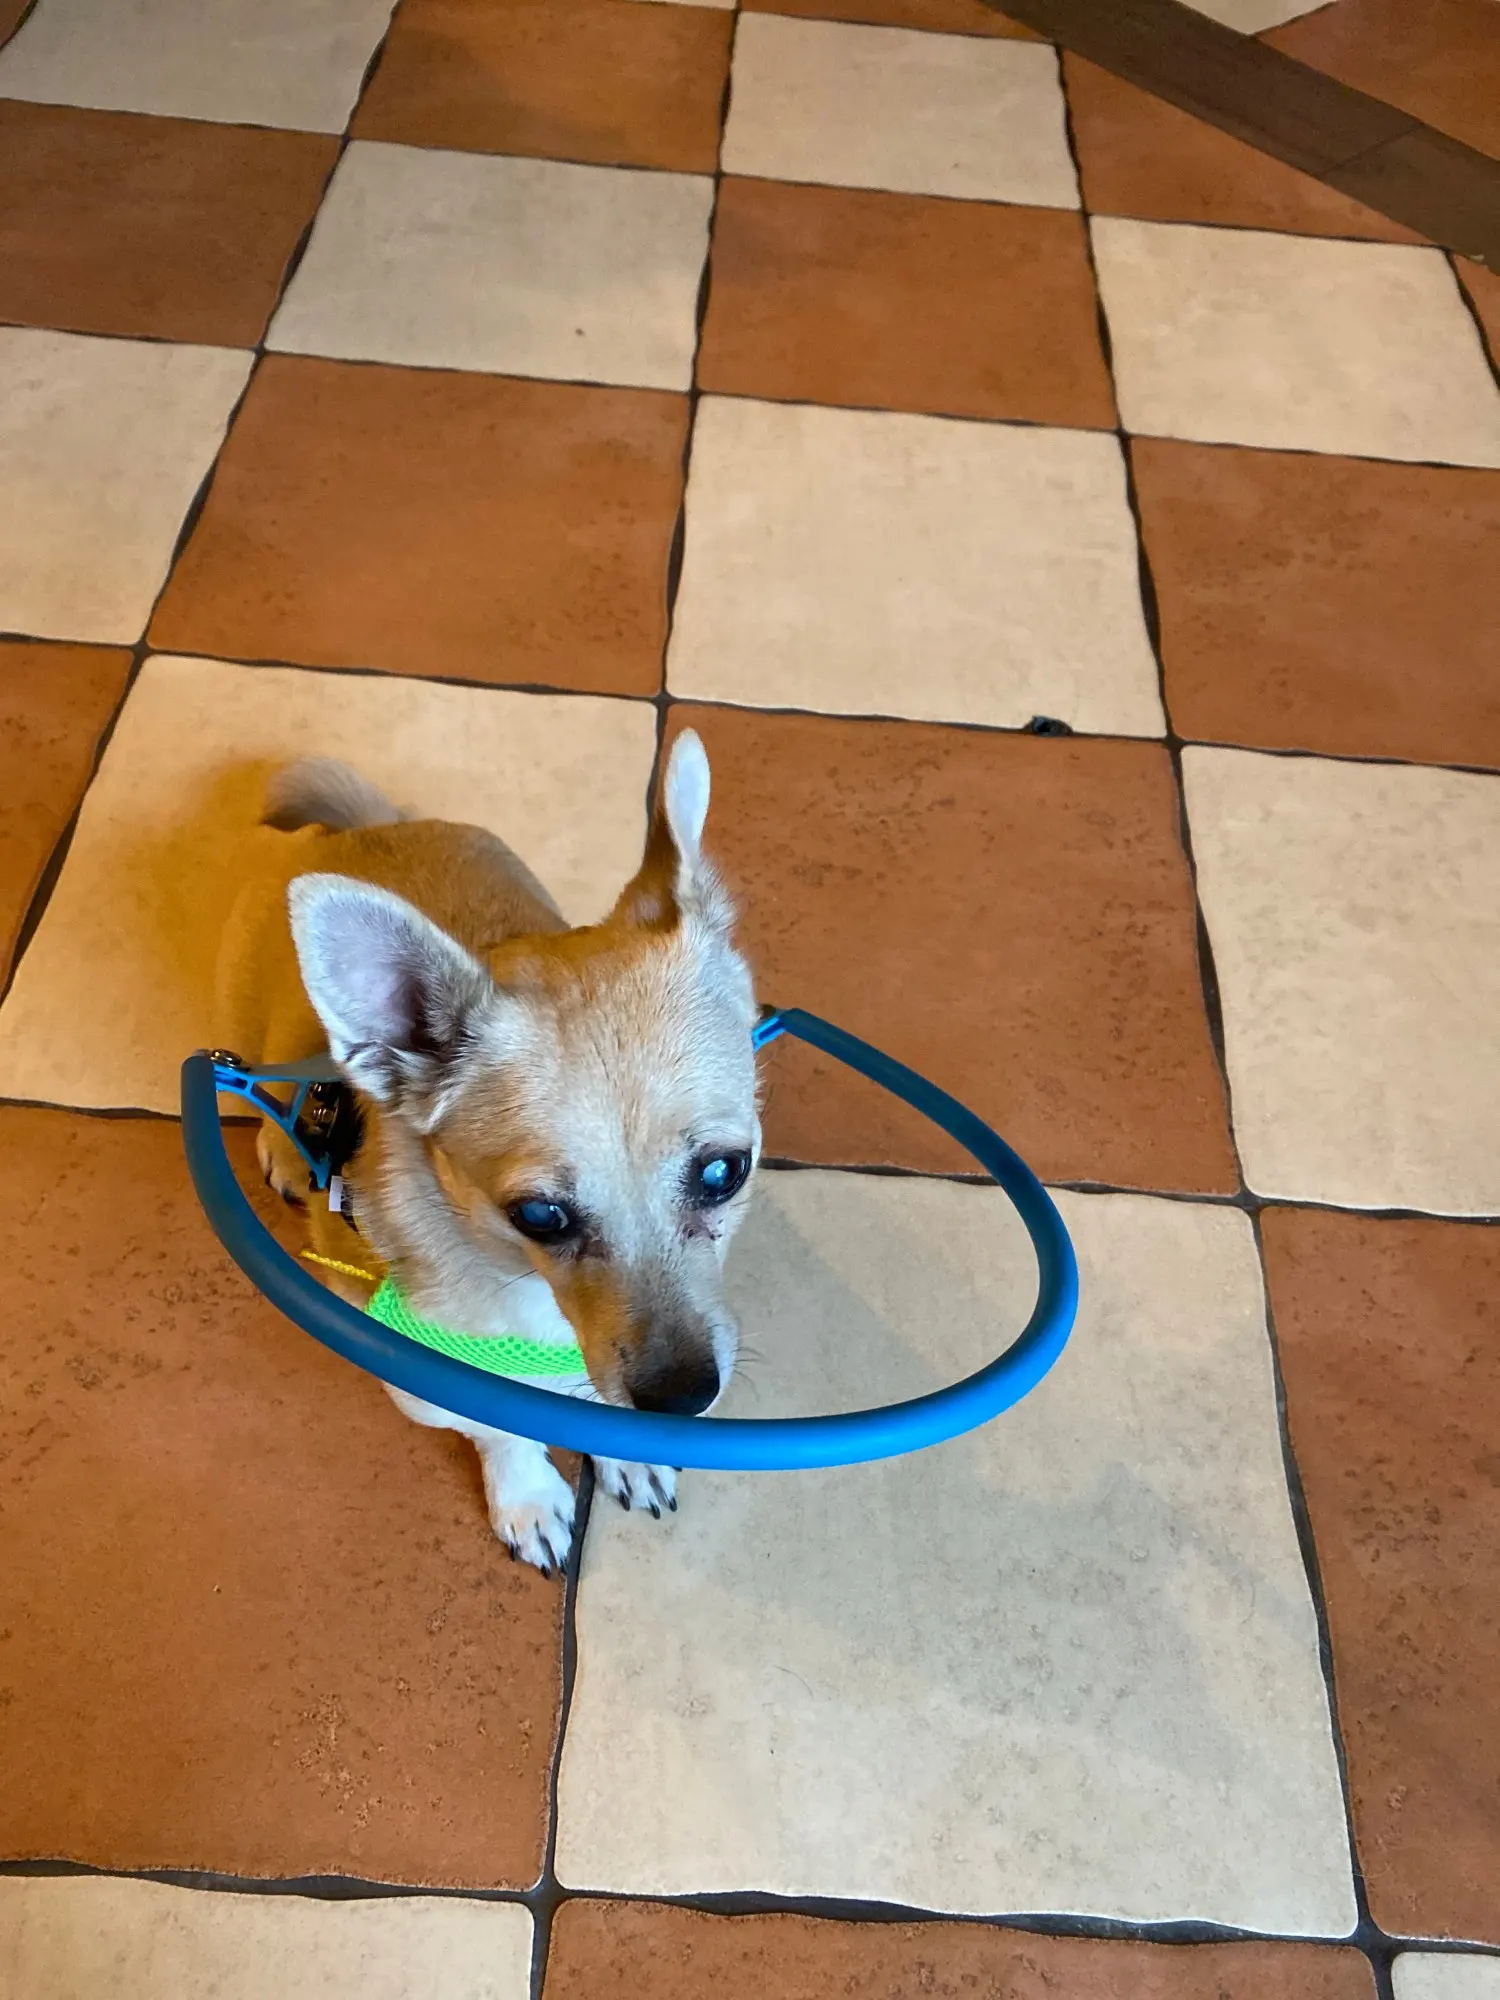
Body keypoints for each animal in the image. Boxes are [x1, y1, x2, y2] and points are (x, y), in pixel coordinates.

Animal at [215, 731, 760, 1575]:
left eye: (724, 1172)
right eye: (539, 1215)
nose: (680, 1399)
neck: (527, 1291)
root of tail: (365, 828)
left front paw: (624, 1451)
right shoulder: (432, 1382)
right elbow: (501, 1432)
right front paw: (528, 1497)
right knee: (261, 1081)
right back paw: (281, 1142)